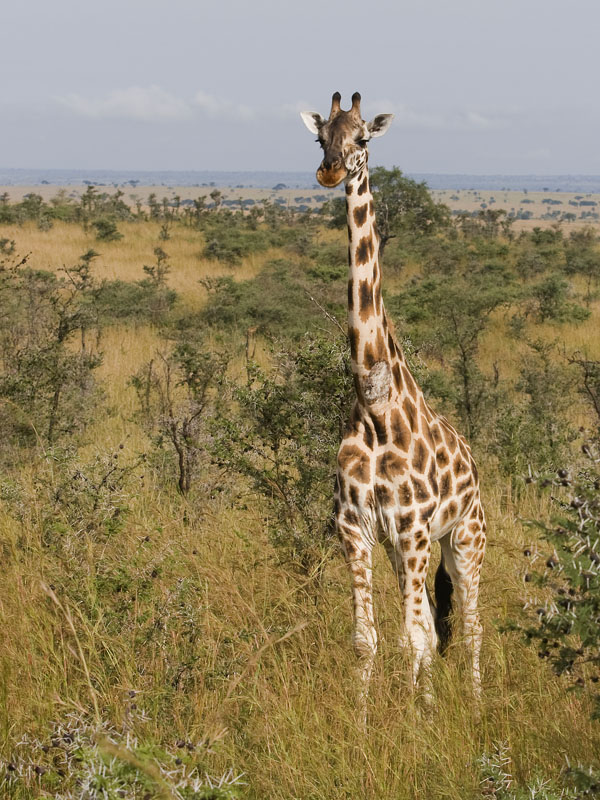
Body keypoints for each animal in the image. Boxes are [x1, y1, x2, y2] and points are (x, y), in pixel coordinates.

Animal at [302, 92, 486, 708]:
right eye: (320, 138)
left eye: (363, 138)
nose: (330, 170)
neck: (373, 401)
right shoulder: (356, 529)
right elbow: (369, 641)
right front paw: (367, 721)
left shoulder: (411, 528)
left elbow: (413, 639)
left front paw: (418, 720)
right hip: (411, 545)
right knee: (433, 619)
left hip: (464, 538)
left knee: (471, 625)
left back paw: (476, 704)